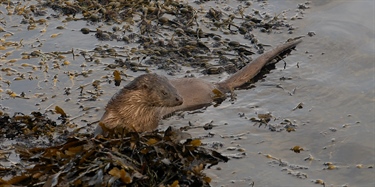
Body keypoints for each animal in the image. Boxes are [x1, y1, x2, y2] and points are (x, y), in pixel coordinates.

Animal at [96, 39, 302, 136]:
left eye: (174, 89)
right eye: (164, 91)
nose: (180, 99)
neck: (131, 114)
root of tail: (214, 85)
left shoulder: (149, 124)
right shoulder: (111, 115)